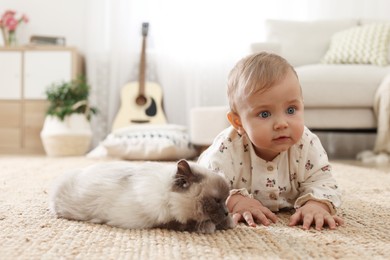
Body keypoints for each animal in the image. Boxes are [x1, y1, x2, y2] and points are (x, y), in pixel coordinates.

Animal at [51, 158, 235, 234]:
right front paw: (214, 226)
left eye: (225, 200)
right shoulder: (166, 220)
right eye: (216, 200)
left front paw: (229, 222)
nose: (227, 212)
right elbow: (191, 224)